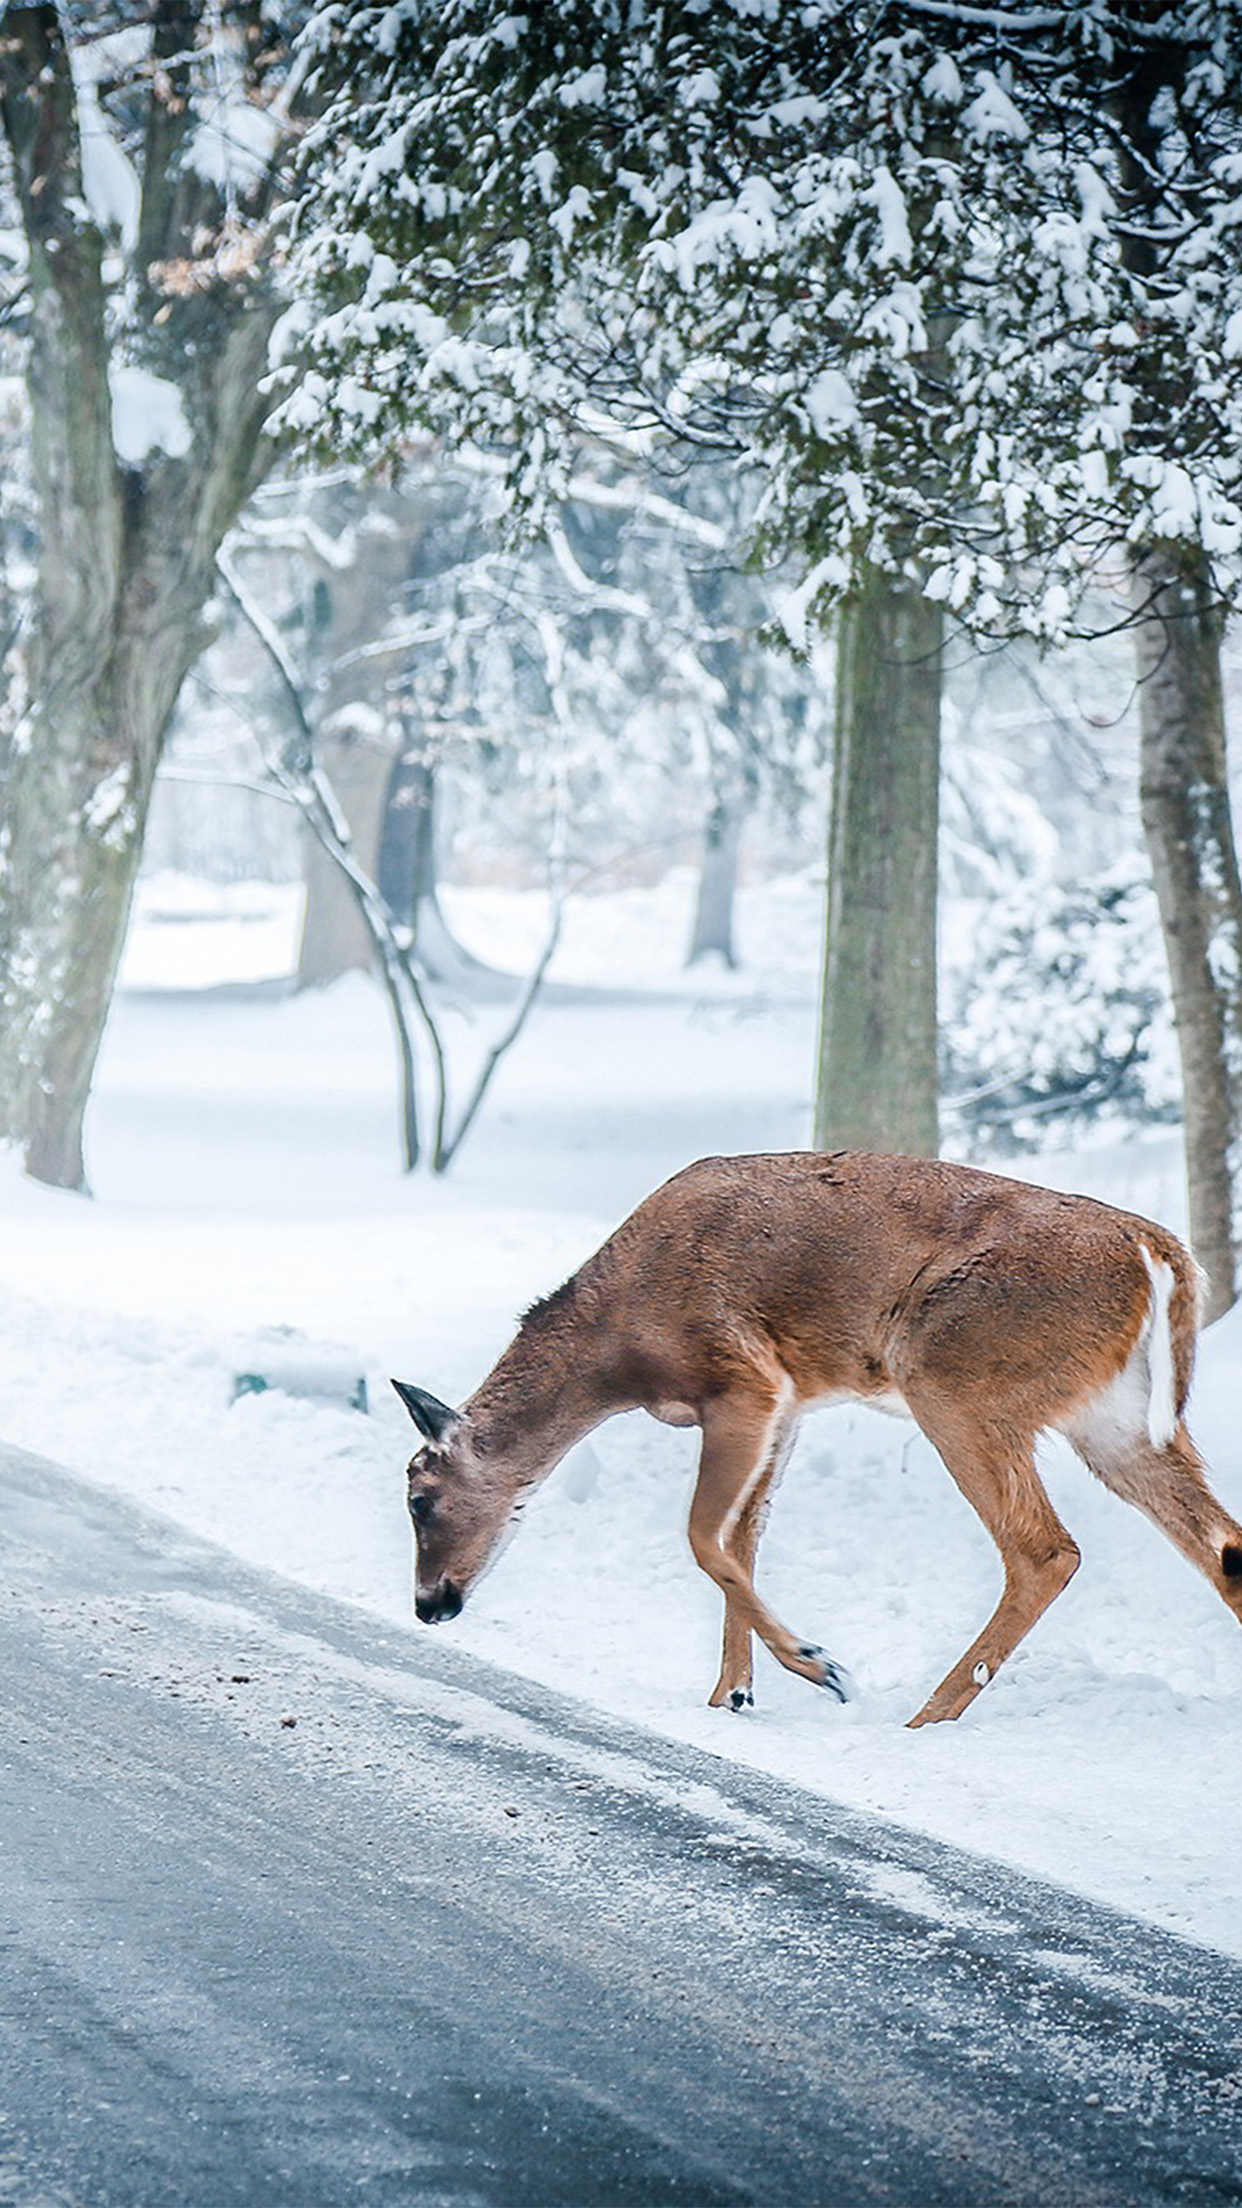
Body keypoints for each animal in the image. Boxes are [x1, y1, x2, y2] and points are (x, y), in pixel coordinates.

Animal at [392, 1150, 1242, 1725]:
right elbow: (743, 1538)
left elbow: (703, 1537)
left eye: (419, 1498)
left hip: (957, 1377)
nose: (429, 1605)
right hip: (1117, 1422)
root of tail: (1162, 1257)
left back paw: (924, 1716)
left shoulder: (744, 1379)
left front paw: (819, 1665)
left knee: (1045, 1550)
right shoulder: (791, 1403)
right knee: (1223, 1548)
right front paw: (731, 1694)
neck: (618, 1348)